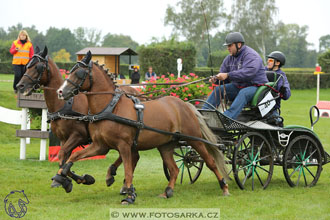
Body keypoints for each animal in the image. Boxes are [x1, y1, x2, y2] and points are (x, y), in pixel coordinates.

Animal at [16, 46, 141, 192]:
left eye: (38, 67)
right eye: (27, 66)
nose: (20, 86)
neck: (65, 104)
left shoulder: (78, 136)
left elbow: (64, 156)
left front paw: (71, 179)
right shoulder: (64, 139)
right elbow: (63, 159)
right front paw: (75, 179)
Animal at [56, 51, 229, 205]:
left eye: (79, 73)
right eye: (70, 70)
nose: (60, 92)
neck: (111, 107)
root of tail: (185, 105)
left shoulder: (124, 146)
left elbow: (128, 170)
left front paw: (129, 196)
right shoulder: (100, 146)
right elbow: (73, 156)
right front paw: (63, 177)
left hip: (194, 140)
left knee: (210, 162)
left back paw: (224, 187)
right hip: (166, 145)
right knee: (174, 169)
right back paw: (167, 191)